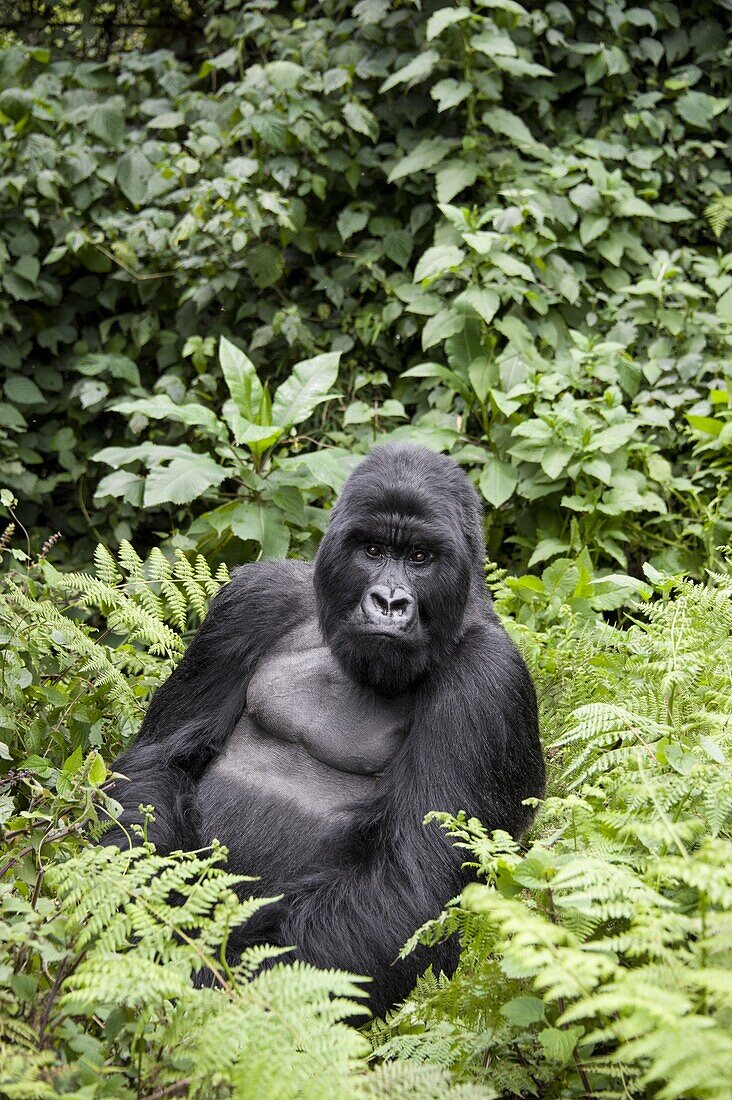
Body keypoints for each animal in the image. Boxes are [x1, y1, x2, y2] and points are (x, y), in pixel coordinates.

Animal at [105, 444, 545, 1012]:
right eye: (373, 550)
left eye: (420, 558)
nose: (389, 601)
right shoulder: (253, 599)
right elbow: (155, 763)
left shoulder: (488, 682)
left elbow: (412, 889)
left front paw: (210, 989)